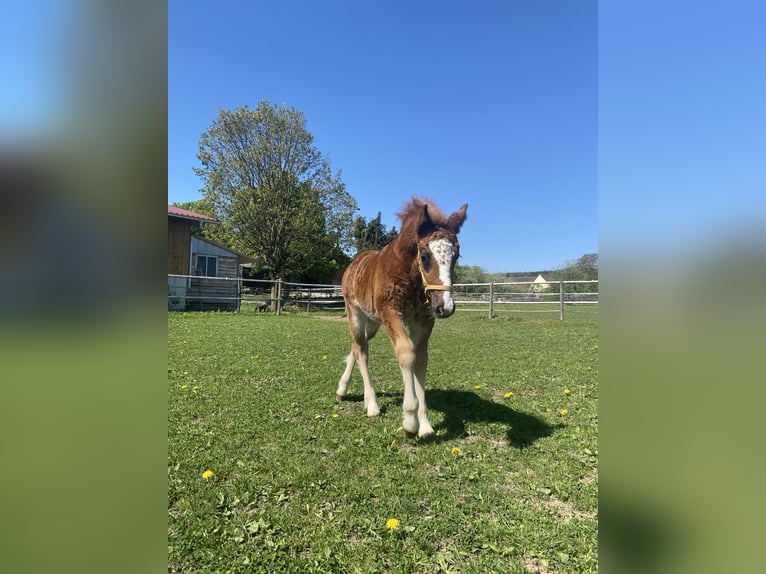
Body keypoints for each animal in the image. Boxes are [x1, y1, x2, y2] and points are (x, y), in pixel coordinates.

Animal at [336, 197, 468, 438]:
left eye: (457, 255)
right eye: (424, 256)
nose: (445, 306)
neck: (412, 278)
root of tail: (353, 264)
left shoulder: (424, 319)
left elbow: (420, 359)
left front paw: (425, 425)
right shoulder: (391, 313)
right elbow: (406, 354)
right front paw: (410, 421)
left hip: (373, 322)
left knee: (357, 346)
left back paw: (344, 390)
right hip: (355, 313)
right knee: (361, 350)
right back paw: (371, 404)